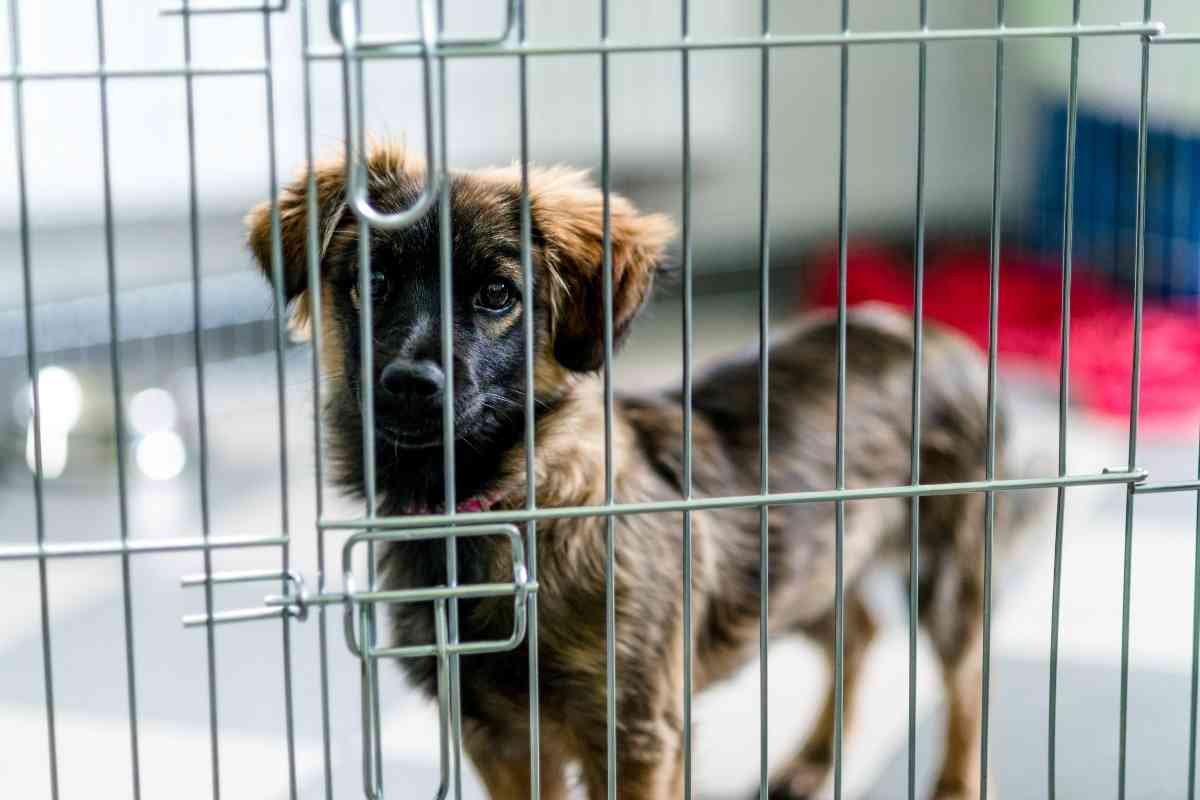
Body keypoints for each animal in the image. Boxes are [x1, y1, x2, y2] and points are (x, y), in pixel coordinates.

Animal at [248, 145, 1008, 800]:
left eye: (497, 294)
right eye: (370, 282)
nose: (408, 385)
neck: (501, 509)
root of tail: (924, 333)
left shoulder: (634, 732)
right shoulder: (496, 735)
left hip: (942, 569)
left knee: (966, 677)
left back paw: (953, 783)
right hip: (803, 566)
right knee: (859, 632)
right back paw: (813, 761)